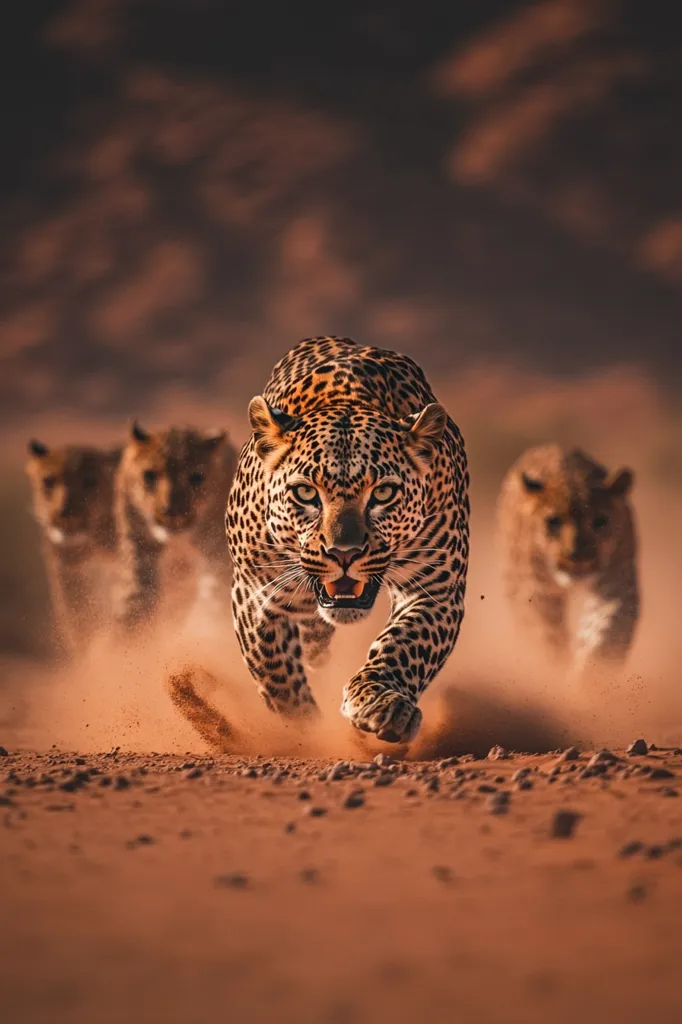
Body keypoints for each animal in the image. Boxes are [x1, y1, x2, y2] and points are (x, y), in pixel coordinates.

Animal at [113, 422, 238, 632]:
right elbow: (136, 607)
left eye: (196, 477)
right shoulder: (141, 556)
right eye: (150, 475)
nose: (171, 511)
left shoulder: (217, 562)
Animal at [221, 335, 470, 745]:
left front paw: (383, 705)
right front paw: (303, 731)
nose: (343, 553)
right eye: (306, 493)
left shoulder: (436, 590)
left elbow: (403, 648)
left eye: (383, 493)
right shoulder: (256, 590)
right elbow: (275, 671)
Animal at [496, 443, 639, 670]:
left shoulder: (615, 584)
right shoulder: (534, 590)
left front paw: (591, 674)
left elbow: (604, 635)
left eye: (600, 521)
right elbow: (546, 636)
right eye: (553, 521)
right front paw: (556, 668)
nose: (577, 556)